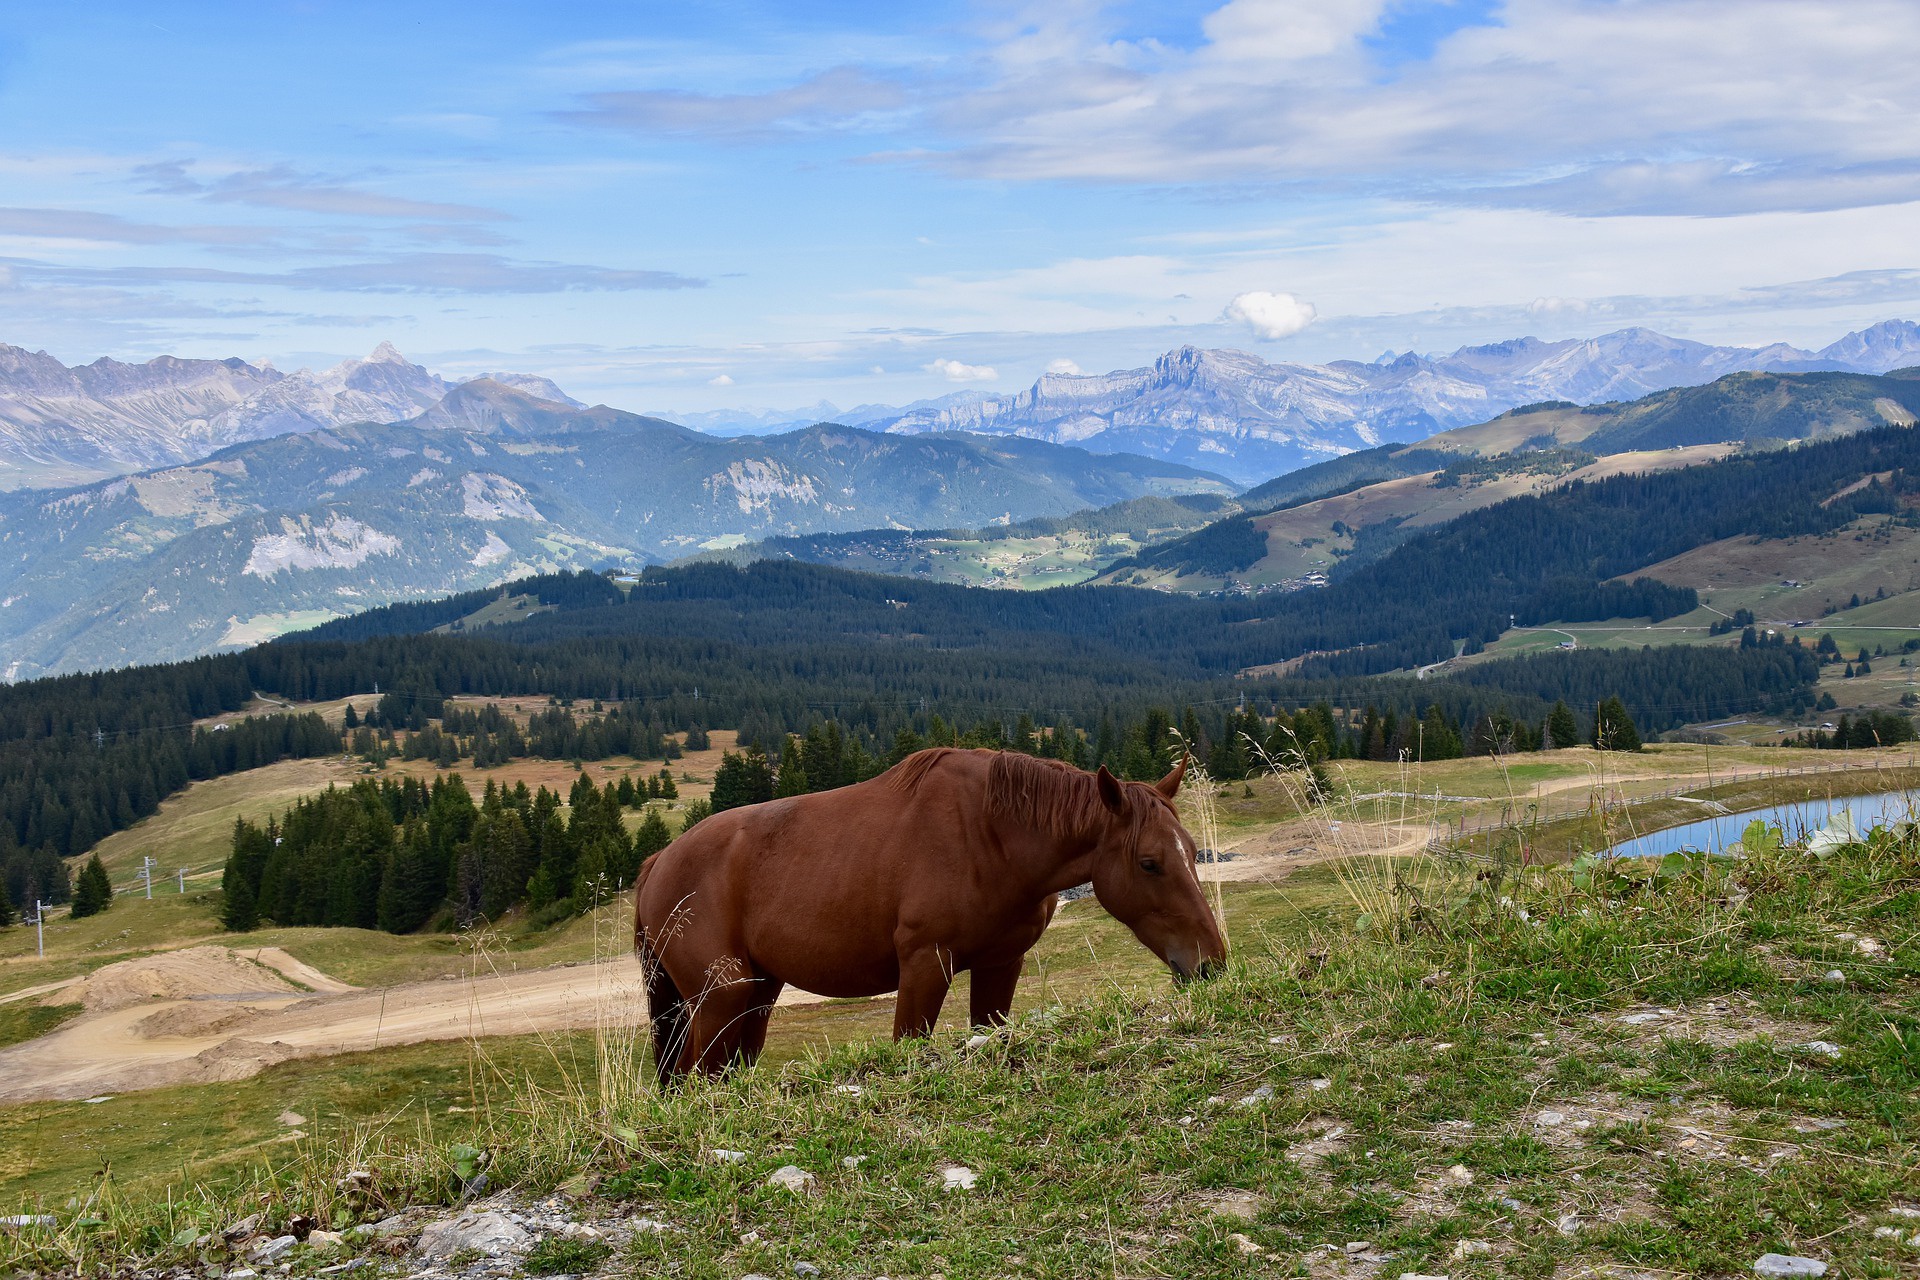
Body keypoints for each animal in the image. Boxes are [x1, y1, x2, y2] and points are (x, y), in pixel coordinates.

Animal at [633, 744, 1228, 1090]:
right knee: (691, 1080)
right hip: (720, 1000)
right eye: (1149, 862)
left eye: (1192, 851)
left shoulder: (1001, 965)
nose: (1211, 964)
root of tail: (660, 861)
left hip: (757, 996)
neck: (988, 834)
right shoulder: (924, 966)